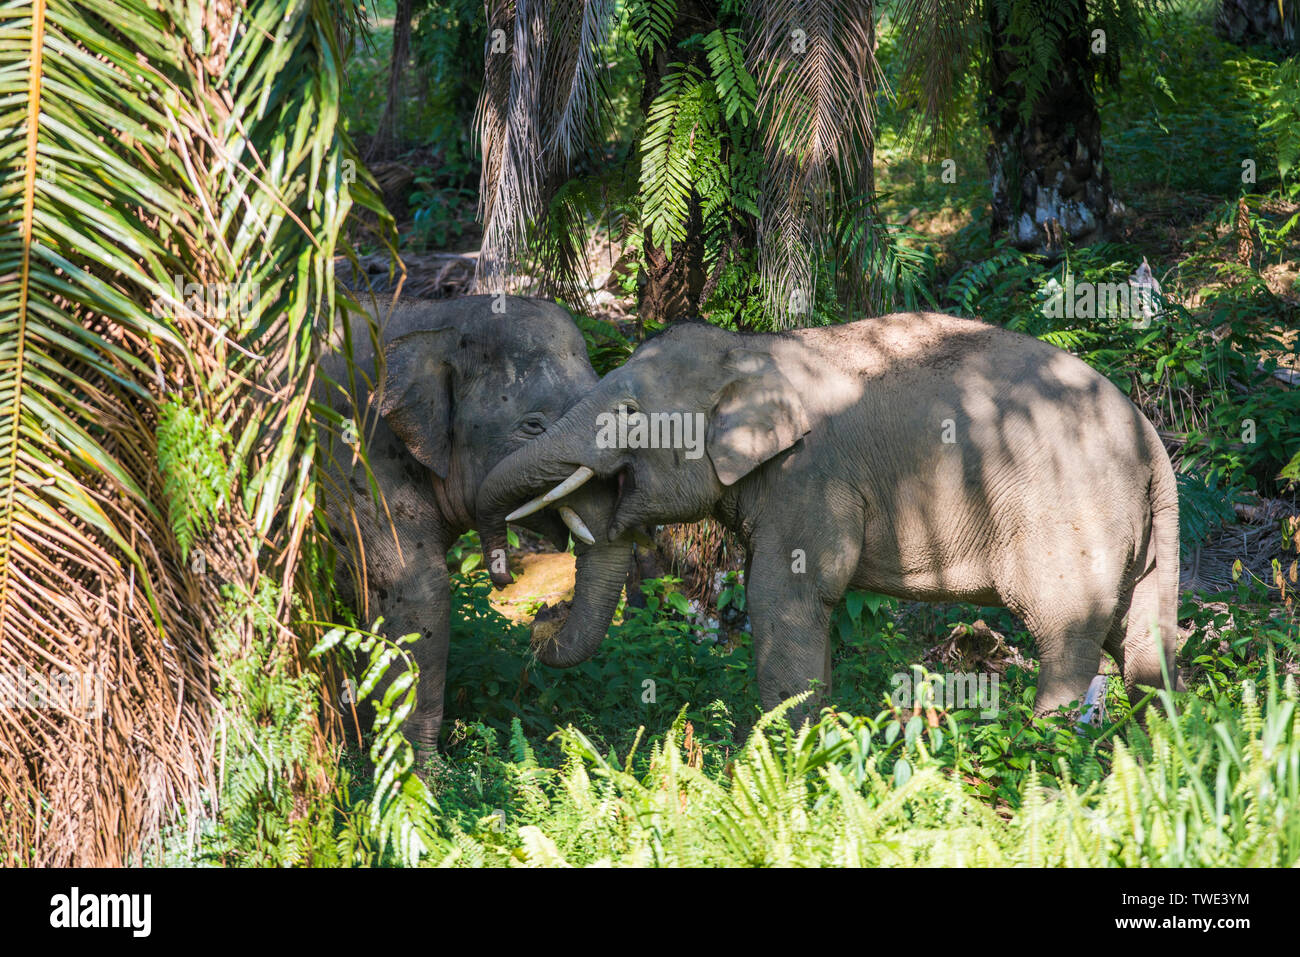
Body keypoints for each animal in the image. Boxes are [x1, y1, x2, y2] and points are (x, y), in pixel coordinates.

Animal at [319, 293, 634, 748]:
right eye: (533, 425)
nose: (547, 614)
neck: (437, 315)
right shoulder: (353, 461)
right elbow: (417, 592)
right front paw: (414, 765)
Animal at [473, 312, 1185, 717]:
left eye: (627, 413)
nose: (537, 619)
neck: (754, 350)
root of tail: (1153, 443)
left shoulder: (812, 475)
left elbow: (784, 594)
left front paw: (782, 757)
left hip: (1072, 513)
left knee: (1063, 632)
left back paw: (1048, 746)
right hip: (1141, 535)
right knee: (1141, 640)